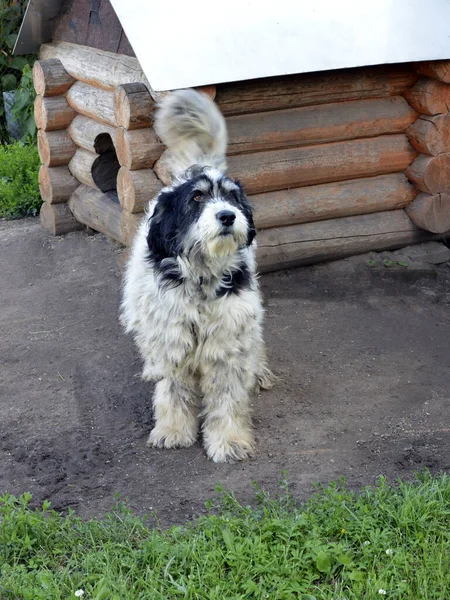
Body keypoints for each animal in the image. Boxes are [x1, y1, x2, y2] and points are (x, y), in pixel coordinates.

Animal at [119, 89, 274, 464]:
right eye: (197, 197)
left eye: (232, 196)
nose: (228, 216)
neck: (202, 278)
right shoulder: (172, 341)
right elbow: (173, 391)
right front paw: (173, 431)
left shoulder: (228, 340)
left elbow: (228, 399)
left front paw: (229, 440)